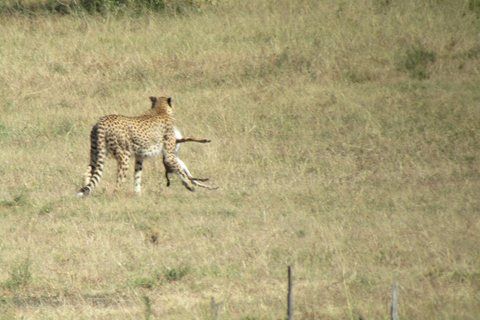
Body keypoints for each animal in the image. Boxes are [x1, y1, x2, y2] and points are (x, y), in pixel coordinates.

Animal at [77, 95, 216, 196]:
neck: (159, 109)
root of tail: (102, 121)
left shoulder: (140, 156)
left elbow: (137, 175)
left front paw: (138, 193)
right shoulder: (168, 155)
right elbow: (180, 171)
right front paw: (189, 186)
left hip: (96, 152)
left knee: (88, 172)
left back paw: (86, 192)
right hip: (124, 155)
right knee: (119, 181)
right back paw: (118, 195)